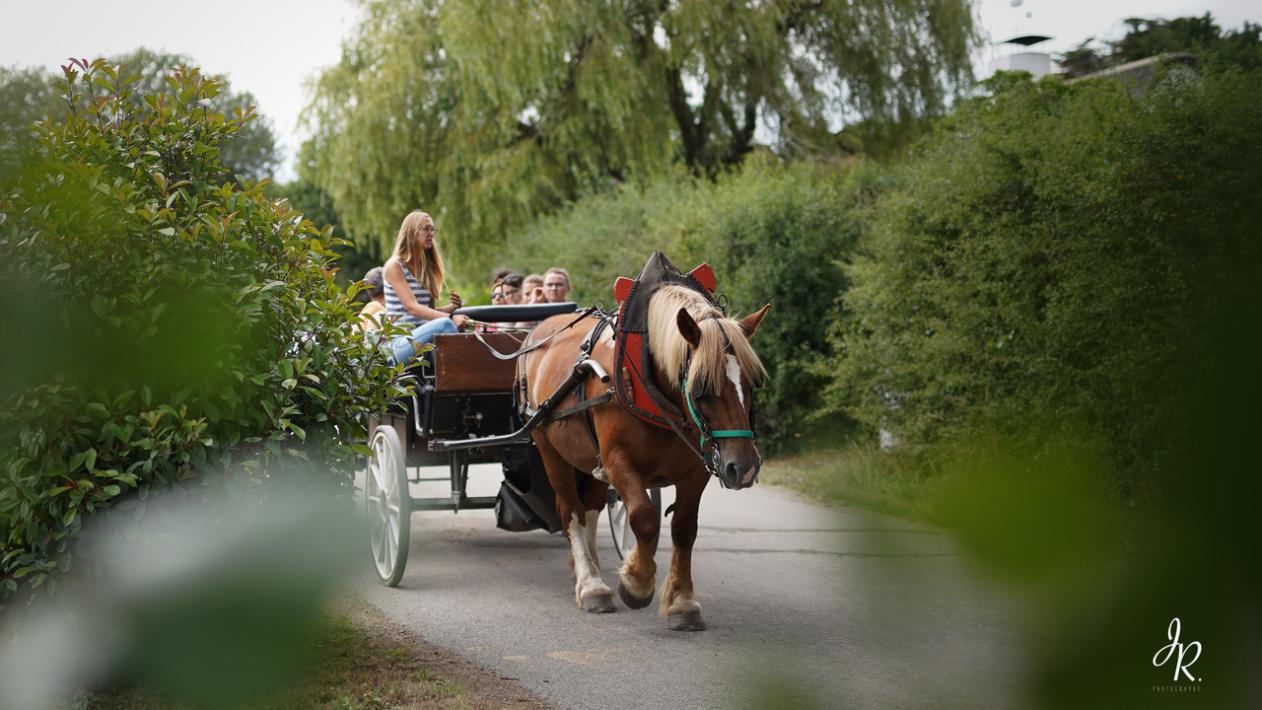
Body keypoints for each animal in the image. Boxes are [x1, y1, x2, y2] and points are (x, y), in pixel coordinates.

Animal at [514, 286, 767, 630]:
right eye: (701, 386)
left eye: (753, 383)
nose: (743, 468)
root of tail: (537, 331)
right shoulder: (618, 462)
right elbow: (644, 517)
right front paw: (637, 582)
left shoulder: (696, 471)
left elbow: (685, 529)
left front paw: (682, 602)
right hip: (549, 448)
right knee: (571, 511)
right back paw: (591, 584)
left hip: (589, 458)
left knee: (591, 507)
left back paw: (589, 570)